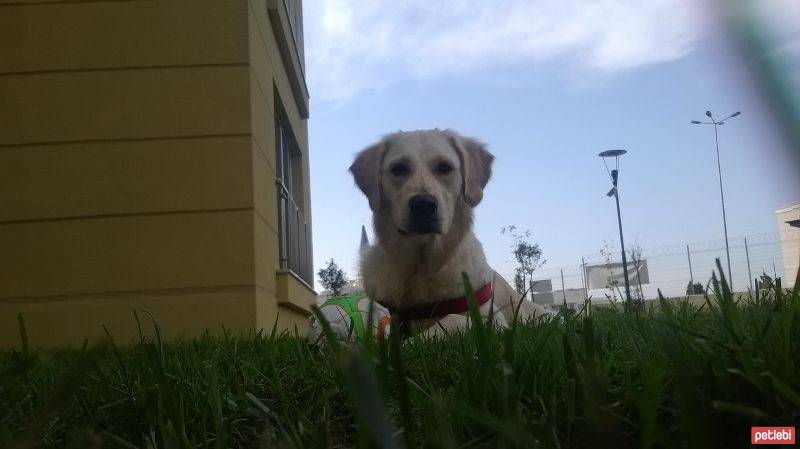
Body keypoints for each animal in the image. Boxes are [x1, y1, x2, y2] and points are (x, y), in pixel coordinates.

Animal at [352, 128, 552, 334]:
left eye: (444, 167)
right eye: (398, 169)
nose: (423, 205)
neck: (422, 268)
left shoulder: (492, 320)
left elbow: (452, 318)